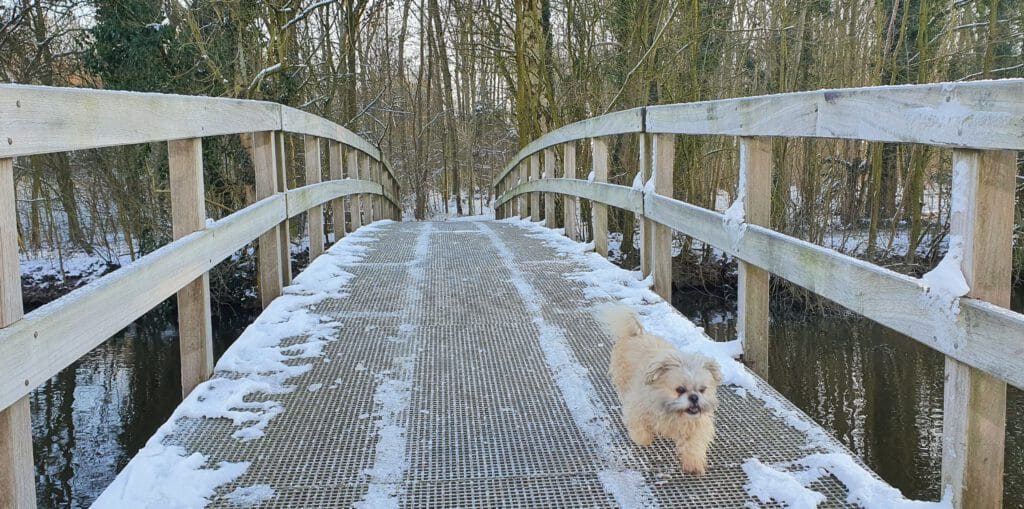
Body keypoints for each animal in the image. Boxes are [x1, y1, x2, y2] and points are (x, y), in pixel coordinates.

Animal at [602, 305, 724, 475]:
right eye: (680, 389)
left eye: (702, 389)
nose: (694, 398)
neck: (672, 411)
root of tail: (637, 334)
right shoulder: (637, 408)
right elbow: (639, 428)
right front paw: (644, 439)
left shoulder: (697, 423)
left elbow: (694, 443)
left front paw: (692, 463)